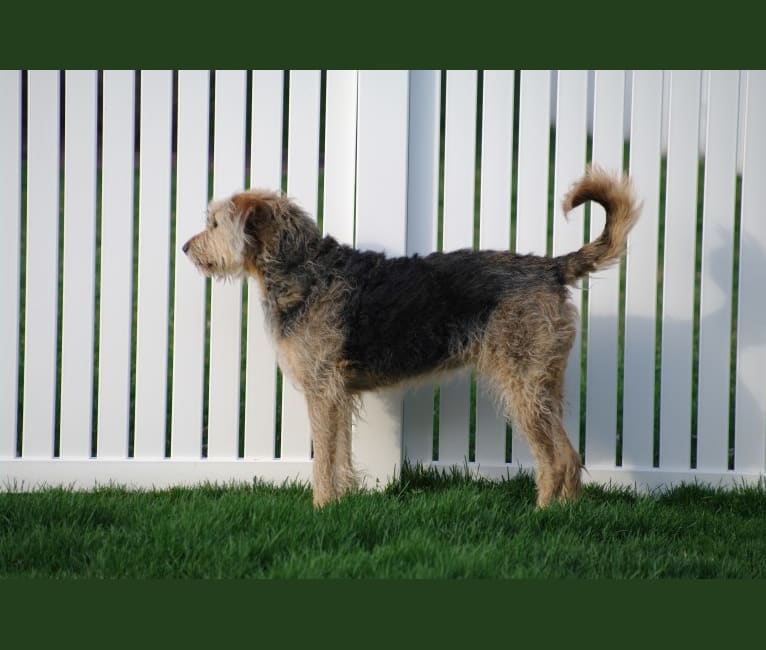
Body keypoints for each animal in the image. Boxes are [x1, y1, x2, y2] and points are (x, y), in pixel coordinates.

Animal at [184, 166, 640, 506]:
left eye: (215, 222)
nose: (186, 247)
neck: (301, 268)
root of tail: (551, 267)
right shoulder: (337, 393)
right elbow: (341, 454)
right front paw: (342, 503)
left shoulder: (321, 390)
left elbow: (323, 459)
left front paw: (321, 507)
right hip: (544, 384)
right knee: (568, 456)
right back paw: (564, 514)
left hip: (524, 388)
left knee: (556, 459)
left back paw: (542, 516)